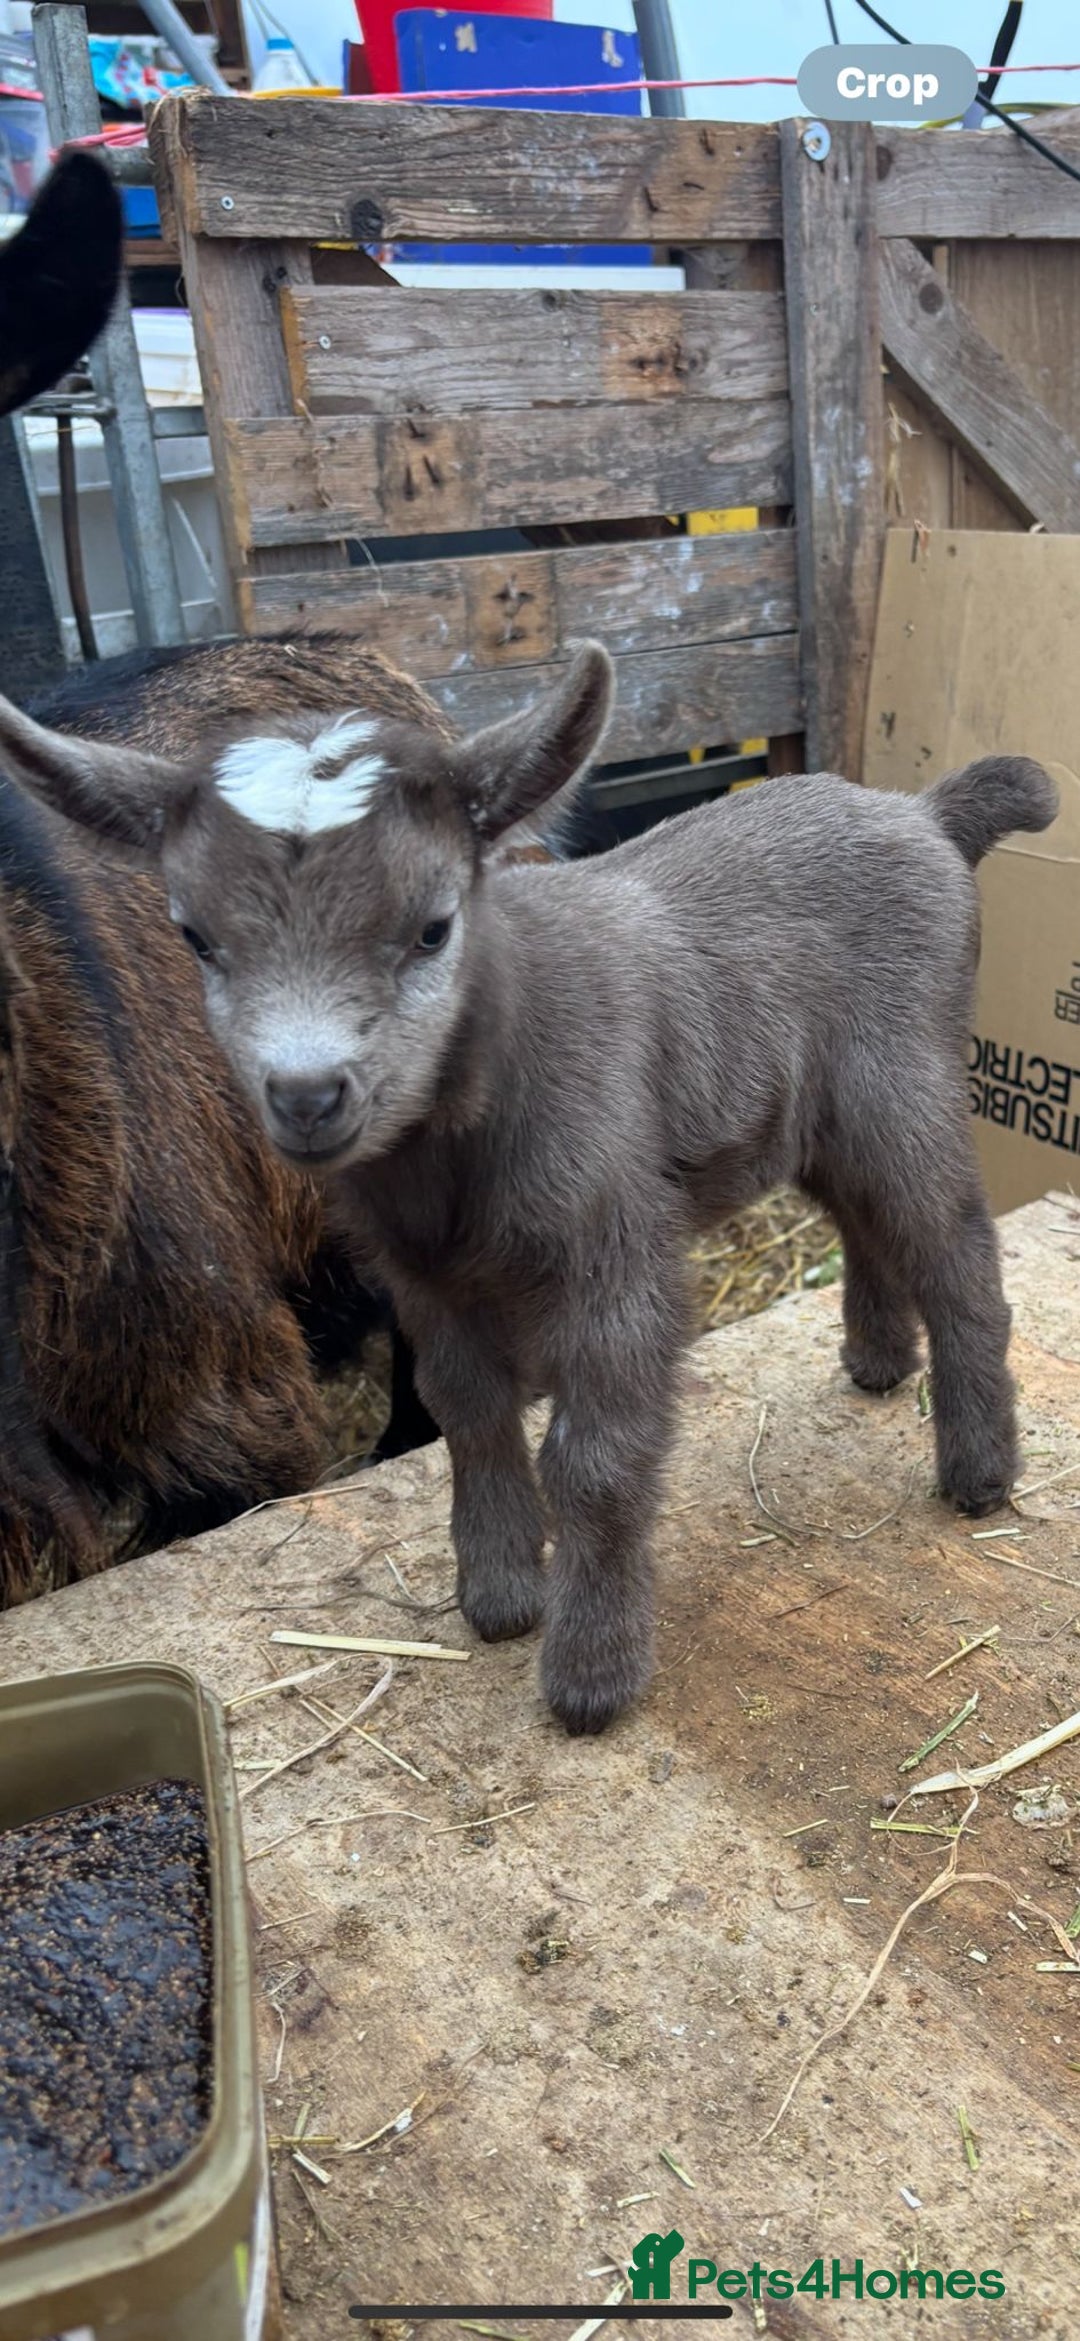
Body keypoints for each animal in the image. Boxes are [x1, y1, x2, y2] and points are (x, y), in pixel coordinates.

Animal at [0, 649, 1056, 1726]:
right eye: (196, 938)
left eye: (433, 929)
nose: (306, 1096)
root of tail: (923, 812)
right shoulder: (425, 1281)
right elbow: (465, 1412)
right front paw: (499, 1597)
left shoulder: (615, 1255)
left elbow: (593, 1461)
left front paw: (592, 1676)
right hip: (822, 1113)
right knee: (867, 1220)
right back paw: (878, 1362)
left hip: (905, 1076)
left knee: (957, 1251)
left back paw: (979, 1473)